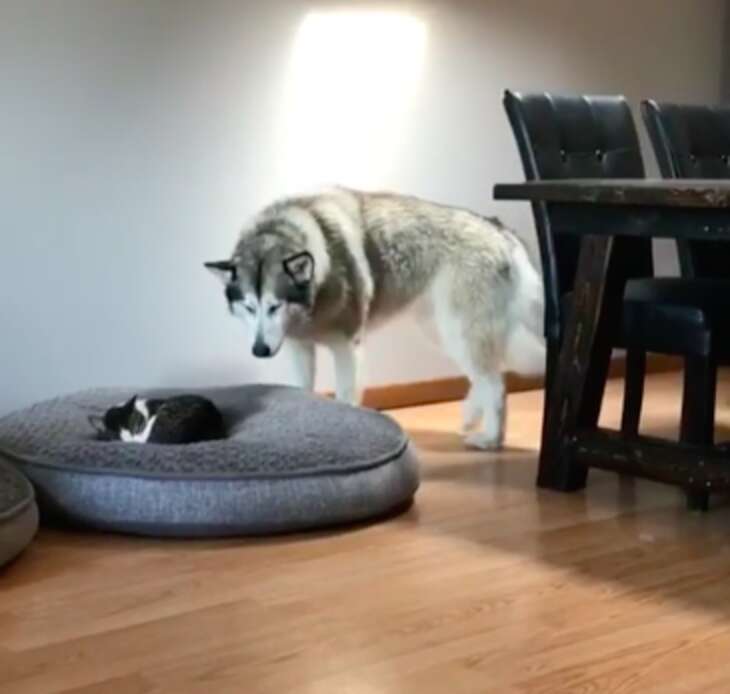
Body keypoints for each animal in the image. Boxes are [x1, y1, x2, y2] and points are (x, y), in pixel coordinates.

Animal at [203, 189, 540, 452]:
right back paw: (471, 416)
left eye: (275, 306)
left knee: (495, 383)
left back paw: (491, 439)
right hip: (441, 329)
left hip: (460, 329)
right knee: (484, 377)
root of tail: (497, 227)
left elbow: (345, 397)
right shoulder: (299, 348)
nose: (259, 350)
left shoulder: (347, 347)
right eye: (249, 307)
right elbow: (302, 391)